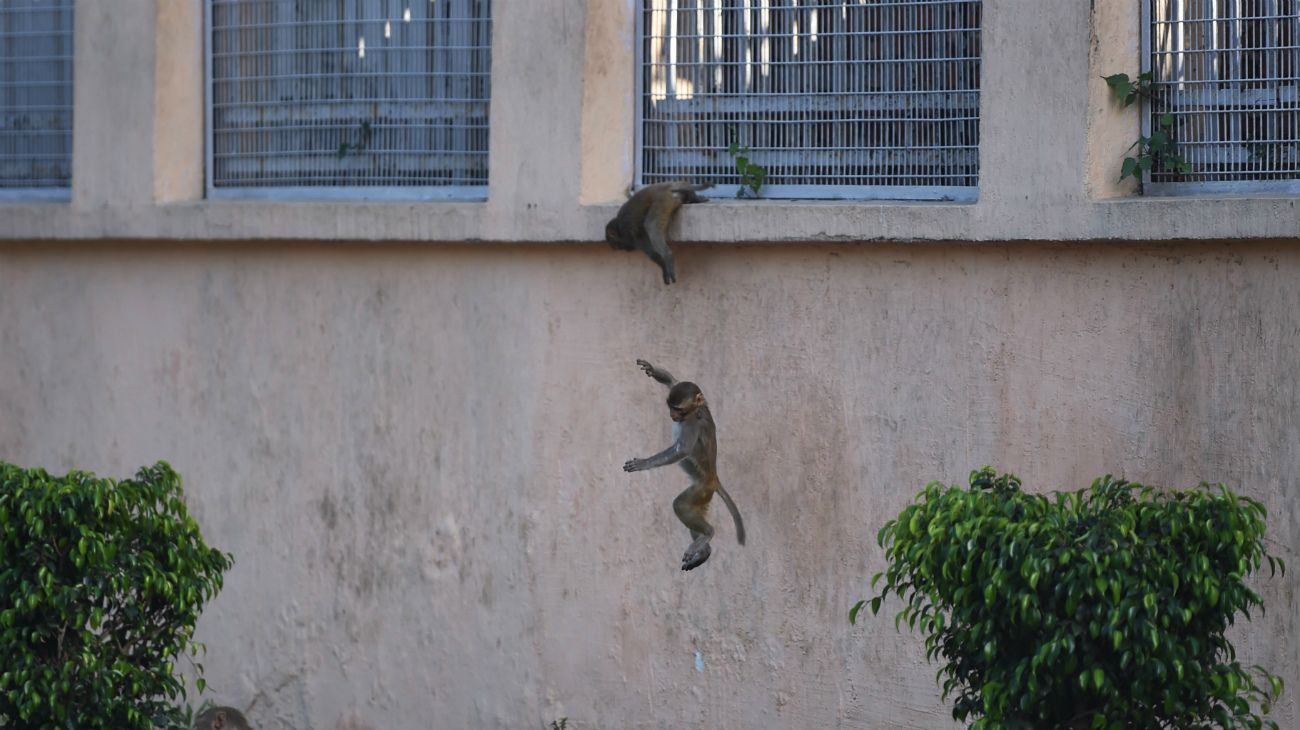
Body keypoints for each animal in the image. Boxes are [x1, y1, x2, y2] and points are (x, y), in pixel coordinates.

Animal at [624, 358, 748, 568]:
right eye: (670, 406)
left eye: (678, 409)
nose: (672, 416)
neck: (695, 411)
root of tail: (714, 477)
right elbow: (673, 381)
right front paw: (653, 370)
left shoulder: (692, 425)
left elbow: (681, 450)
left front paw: (643, 463)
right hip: (703, 497)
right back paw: (704, 551)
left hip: (701, 489)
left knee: (681, 505)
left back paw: (708, 533)